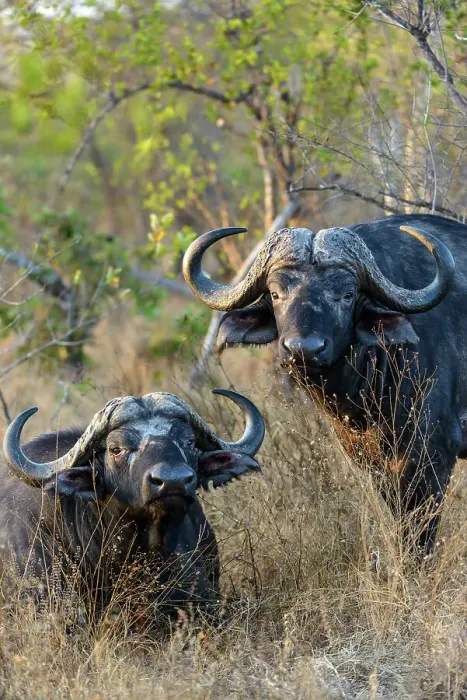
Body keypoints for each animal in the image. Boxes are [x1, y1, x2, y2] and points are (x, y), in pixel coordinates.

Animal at [183, 214, 467, 554]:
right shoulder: (375, 465)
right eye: (276, 294)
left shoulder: (431, 460)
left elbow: (418, 539)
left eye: (347, 295)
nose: (303, 349)